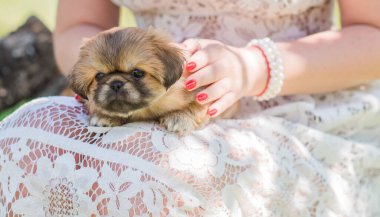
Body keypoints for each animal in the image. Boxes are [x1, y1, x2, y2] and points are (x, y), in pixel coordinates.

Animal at [68, 27, 235, 136]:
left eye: (137, 73)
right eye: (99, 76)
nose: (116, 83)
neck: (148, 109)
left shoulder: (202, 93)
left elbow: (195, 107)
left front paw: (179, 117)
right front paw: (106, 116)